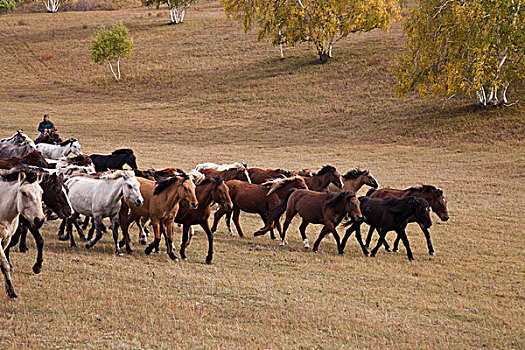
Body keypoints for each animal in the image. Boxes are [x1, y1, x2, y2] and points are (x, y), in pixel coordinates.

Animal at [0, 168, 44, 300]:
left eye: (41, 192)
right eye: (24, 193)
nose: (39, 220)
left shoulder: (6, 239)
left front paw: (11, 292)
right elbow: (5, 264)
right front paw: (11, 292)